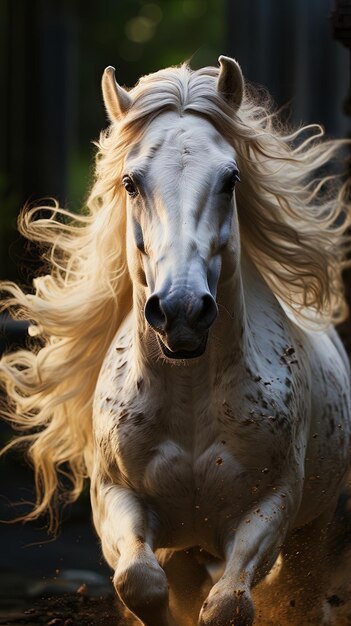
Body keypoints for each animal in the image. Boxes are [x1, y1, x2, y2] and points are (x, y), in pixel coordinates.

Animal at [0, 58, 351, 624]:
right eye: (130, 181)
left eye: (231, 178)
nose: (182, 311)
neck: (189, 404)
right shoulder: (117, 500)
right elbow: (139, 581)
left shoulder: (269, 509)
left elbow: (229, 605)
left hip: (311, 528)